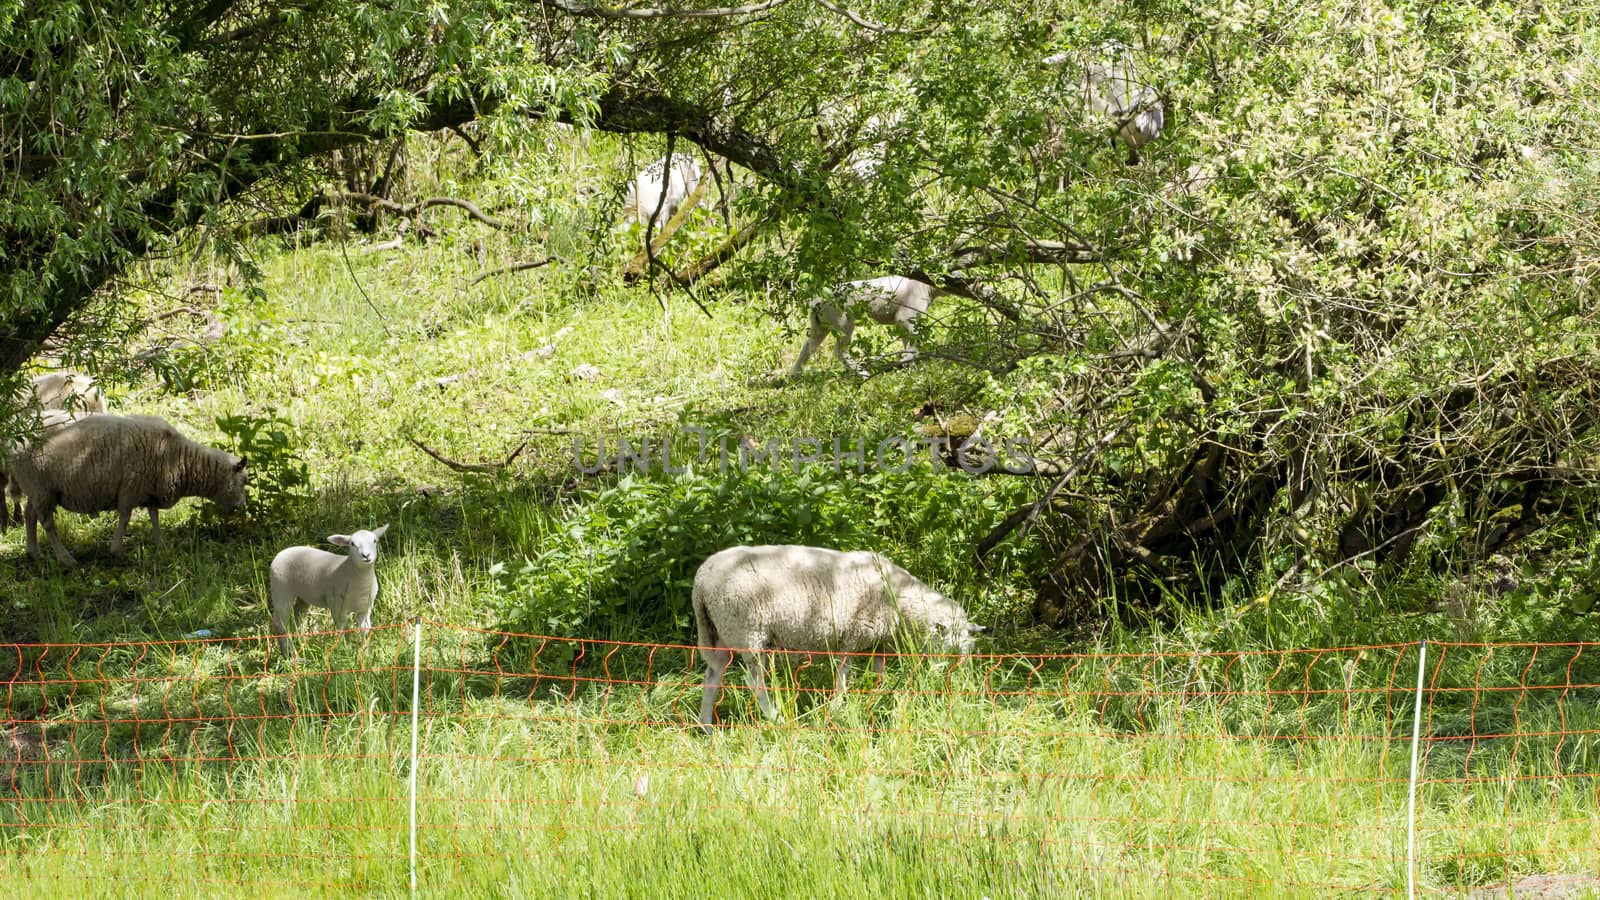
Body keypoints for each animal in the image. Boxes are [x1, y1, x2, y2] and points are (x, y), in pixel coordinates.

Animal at [4, 413, 248, 563]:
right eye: (244, 480)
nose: (242, 507)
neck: (180, 458)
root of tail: (12, 446)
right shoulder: (130, 489)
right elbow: (125, 518)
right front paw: (117, 550)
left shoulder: (150, 490)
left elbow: (154, 516)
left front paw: (160, 544)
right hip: (42, 489)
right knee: (48, 524)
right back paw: (65, 559)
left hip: (38, 490)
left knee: (29, 514)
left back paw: (34, 553)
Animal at [272, 522, 390, 656]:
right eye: (352, 544)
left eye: (374, 541)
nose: (366, 556)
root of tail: (283, 551)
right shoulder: (337, 607)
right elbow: (341, 628)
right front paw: (342, 651)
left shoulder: (365, 608)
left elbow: (364, 629)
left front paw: (366, 653)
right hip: (281, 589)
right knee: (279, 623)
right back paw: (288, 653)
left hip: (303, 595)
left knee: (299, 613)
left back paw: (302, 643)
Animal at [694, 538, 979, 730]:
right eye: (953, 649)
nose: (961, 681)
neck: (898, 596)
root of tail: (702, 581)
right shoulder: (854, 635)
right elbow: (843, 676)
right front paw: (837, 706)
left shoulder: (877, 642)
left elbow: (878, 673)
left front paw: (876, 696)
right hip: (749, 632)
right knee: (755, 682)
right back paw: (775, 717)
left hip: (718, 633)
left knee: (713, 675)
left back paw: (706, 726)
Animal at [790, 269, 947, 374]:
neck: (926, 287)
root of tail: (816, 300)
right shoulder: (905, 317)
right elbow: (912, 344)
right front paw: (909, 366)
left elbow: (908, 342)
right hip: (843, 322)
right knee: (839, 350)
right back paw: (861, 373)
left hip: (821, 325)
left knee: (808, 346)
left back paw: (794, 376)